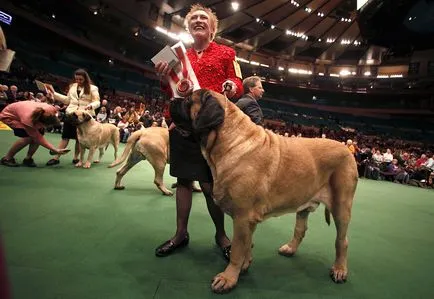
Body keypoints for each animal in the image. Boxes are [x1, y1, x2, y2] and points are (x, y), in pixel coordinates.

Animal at [182, 90, 356, 294]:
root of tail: (346, 149)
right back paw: (290, 248)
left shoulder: (242, 217)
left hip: (341, 206)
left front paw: (228, 278)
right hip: (304, 203)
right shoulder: (248, 220)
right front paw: (244, 265)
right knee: (300, 229)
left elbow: (237, 249)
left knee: (342, 240)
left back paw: (339, 269)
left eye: (187, 100)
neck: (231, 142)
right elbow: (247, 245)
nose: (173, 101)